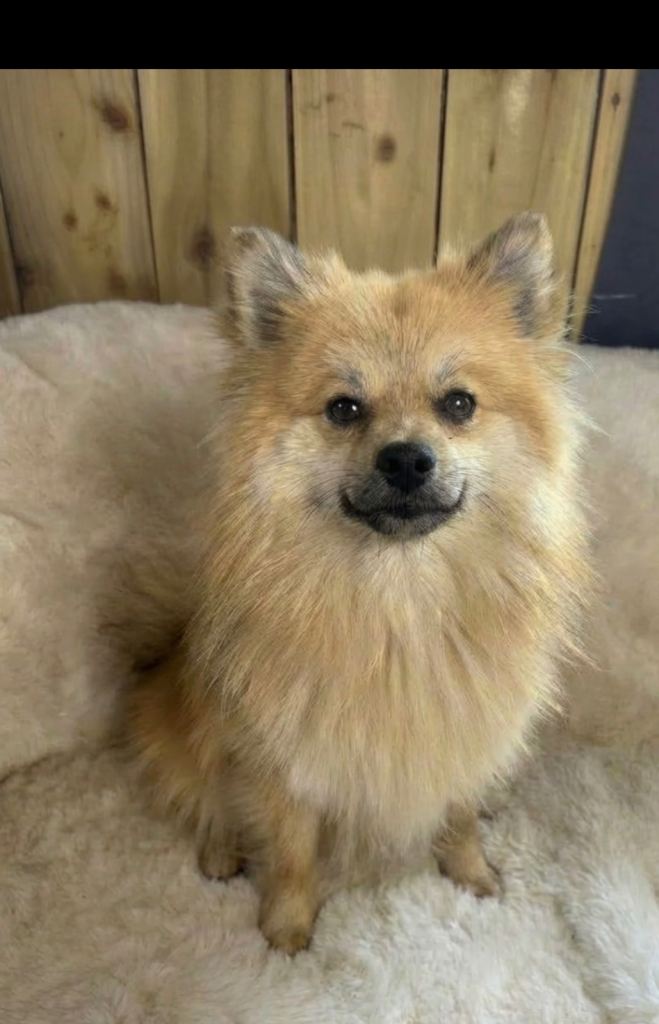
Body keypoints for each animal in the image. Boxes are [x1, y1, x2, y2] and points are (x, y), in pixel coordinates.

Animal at [128, 213, 589, 953]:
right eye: (344, 409)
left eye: (458, 404)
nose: (404, 458)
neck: (400, 602)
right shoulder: (280, 759)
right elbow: (291, 851)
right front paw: (287, 932)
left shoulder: (465, 730)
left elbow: (459, 813)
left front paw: (470, 873)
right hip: (184, 726)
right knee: (202, 796)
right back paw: (220, 851)